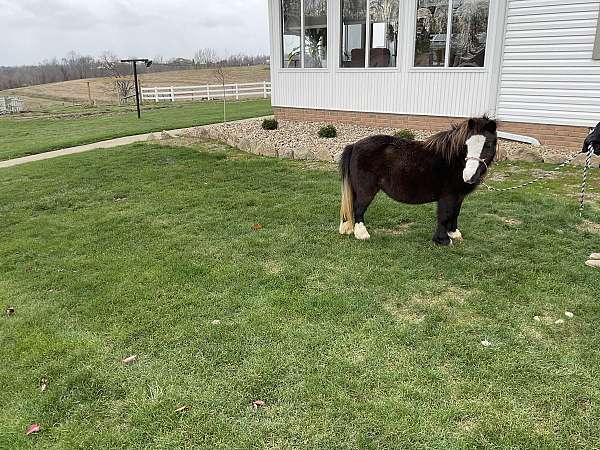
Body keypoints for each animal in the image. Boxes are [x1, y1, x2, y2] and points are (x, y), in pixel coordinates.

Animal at [340, 114, 500, 244]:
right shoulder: (447, 196)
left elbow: (455, 213)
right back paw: (362, 234)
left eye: (488, 145)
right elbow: (445, 215)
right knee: (359, 208)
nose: (468, 176)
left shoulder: (458, 196)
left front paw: (454, 233)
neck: (453, 160)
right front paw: (442, 240)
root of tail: (354, 145)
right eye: (466, 145)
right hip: (366, 190)